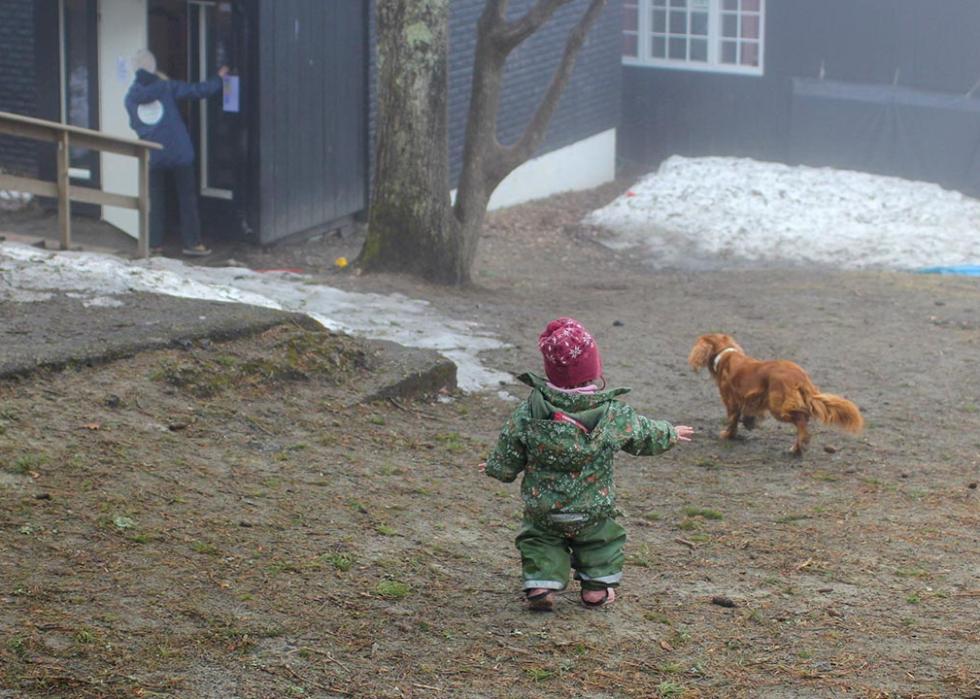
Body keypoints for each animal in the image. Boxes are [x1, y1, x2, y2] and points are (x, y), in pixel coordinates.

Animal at [684, 334, 860, 456]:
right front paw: (748, 423)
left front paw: (728, 435)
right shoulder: (751, 400)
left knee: (801, 419)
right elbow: (748, 414)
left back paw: (798, 447)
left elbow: (732, 421)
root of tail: (800, 376)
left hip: (778, 407)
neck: (725, 354)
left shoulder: (731, 401)